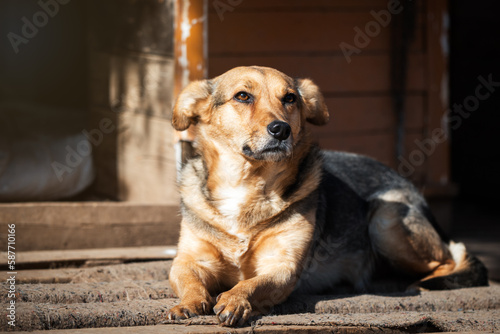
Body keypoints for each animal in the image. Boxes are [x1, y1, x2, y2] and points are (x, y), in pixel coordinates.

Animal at [168, 65, 488, 326]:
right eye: (243, 96)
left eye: (290, 99)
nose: (281, 129)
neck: (247, 185)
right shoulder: (189, 261)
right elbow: (188, 280)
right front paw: (189, 302)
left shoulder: (281, 268)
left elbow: (249, 285)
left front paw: (235, 300)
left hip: (385, 217)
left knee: (452, 256)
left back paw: (424, 283)